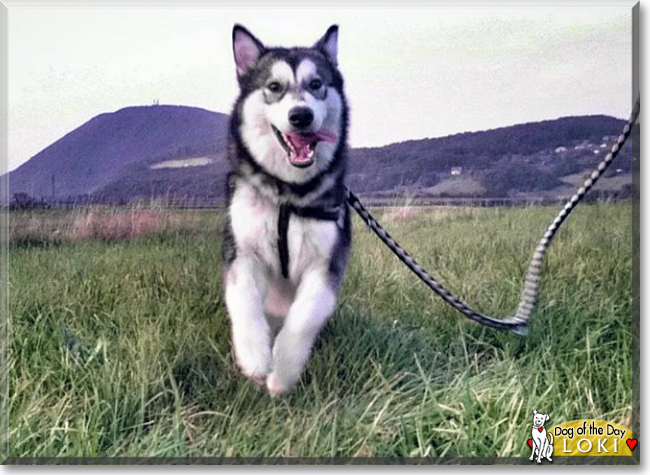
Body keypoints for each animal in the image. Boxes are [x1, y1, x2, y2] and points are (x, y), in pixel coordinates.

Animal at [220, 25, 350, 398]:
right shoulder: (242, 253)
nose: (300, 115)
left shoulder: (326, 264)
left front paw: (283, 373)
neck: (289, 193)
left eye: (316, 84)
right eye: (275, 87)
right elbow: (243, 303)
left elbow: (304, 319)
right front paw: (255, 358)